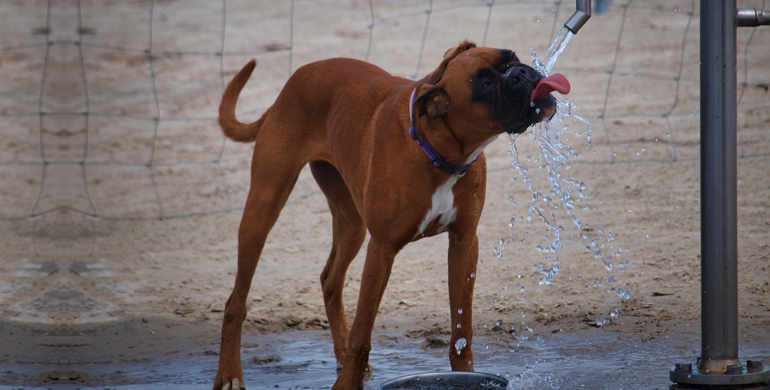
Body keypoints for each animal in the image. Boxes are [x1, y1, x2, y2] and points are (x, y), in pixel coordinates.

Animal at [213, 40, 568, 390]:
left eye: (512, 58)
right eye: (483, 85)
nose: (521, 73)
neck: (439, 150)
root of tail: (291, 82)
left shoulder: (464, 242)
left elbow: (461, 329)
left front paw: (464, 375)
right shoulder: (382, 250)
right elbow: (363, 333)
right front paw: (348, 383)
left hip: (351, 224)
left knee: (330, 280)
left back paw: (338, 353)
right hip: (263, 209)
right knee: (235, 302)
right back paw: (229, 373)